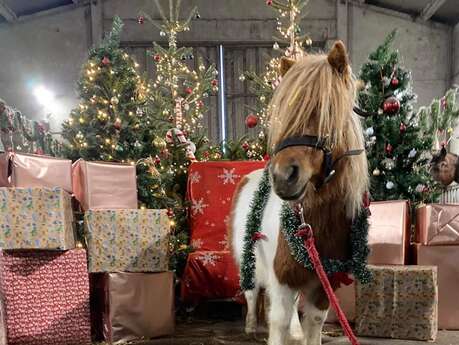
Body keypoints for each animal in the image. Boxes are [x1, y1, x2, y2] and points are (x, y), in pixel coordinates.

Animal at [230, 41, 370, 344]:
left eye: (326, 110)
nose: (283, 176)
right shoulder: (281, 280)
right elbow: (278, 322)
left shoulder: (323, 284)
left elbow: (314, 323)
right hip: (250, 261)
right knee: (251, 293)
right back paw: (250, 326)